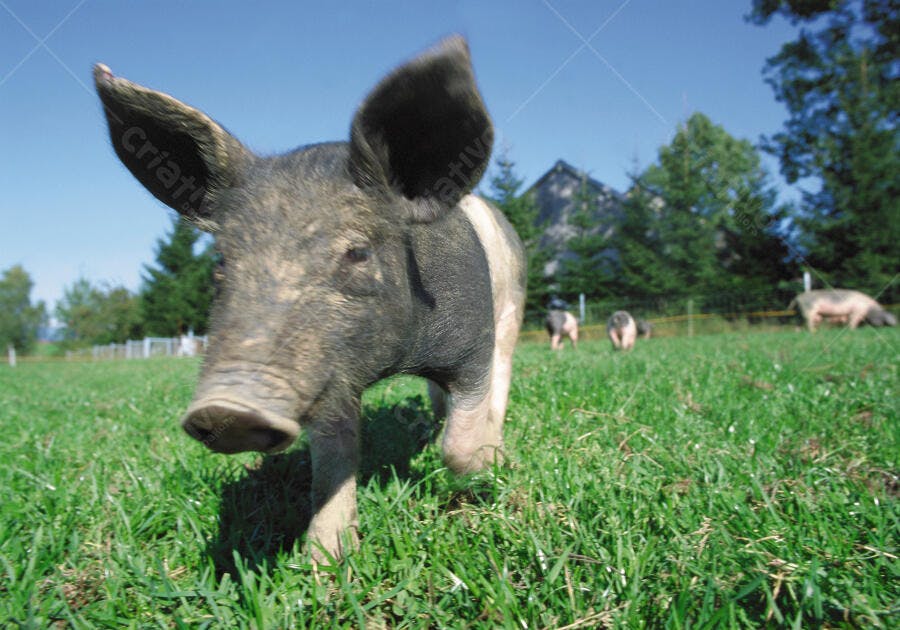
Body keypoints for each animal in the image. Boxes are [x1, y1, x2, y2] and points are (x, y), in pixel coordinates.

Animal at [94, 37, 526, 563]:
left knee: (502, 374)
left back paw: (493, 447)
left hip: (512, 305)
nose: (225, 409)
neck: (396, 360)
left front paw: (480, 475)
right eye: (221, 261)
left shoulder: (471, 341)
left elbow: (460, 441)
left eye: (357, 252)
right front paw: (326, 560)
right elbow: (334, 459)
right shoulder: (329, 375)